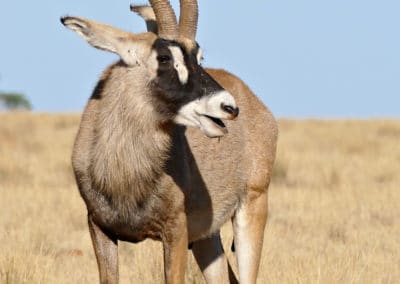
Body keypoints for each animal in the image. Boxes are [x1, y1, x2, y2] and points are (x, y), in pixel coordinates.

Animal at [61, 0, 276, 284]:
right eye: (164, 57)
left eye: (199, 57)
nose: (228, 107)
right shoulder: (99, 227)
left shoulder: (176, 231)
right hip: (207, 238)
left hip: (252, 205)